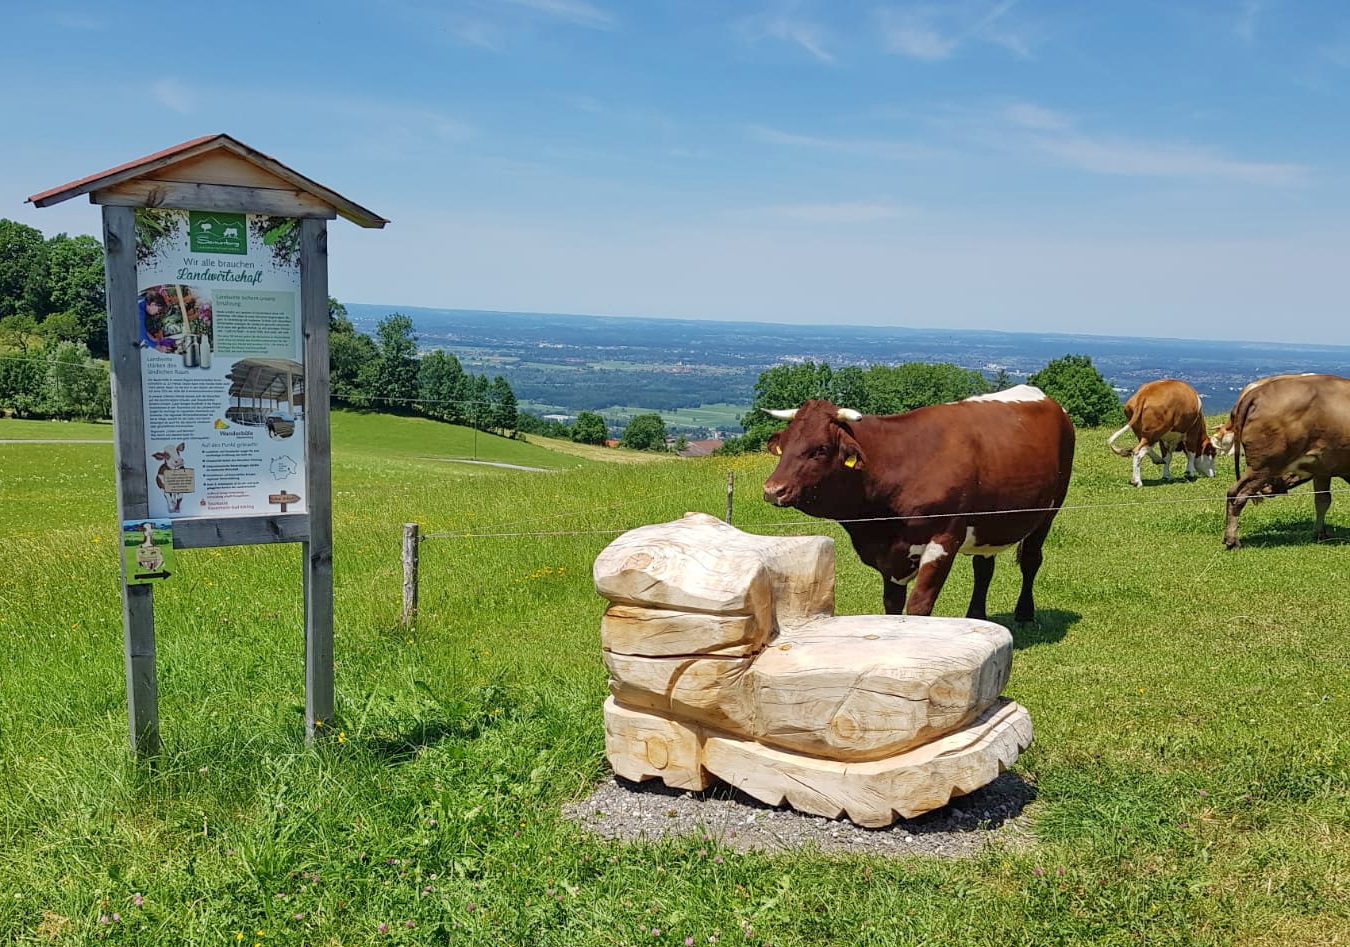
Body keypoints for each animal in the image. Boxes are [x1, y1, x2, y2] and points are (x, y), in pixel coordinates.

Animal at [766, 380, 1069, 624]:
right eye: (784, 445)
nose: (773, 489)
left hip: (1050, 510)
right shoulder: (889, 553)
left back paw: (1025, 615)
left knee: (1031, 560)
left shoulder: (945, 538)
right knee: (983, 568)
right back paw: (976, 617)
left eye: (820, 449)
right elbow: (892, 603)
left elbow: (919, 604)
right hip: (990, 523)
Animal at [1220, 370, 1350, 545]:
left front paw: (1320, 534)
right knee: (1238, 494)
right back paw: (1232, 540)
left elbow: (1322, 500)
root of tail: (1257, 392)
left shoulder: (1323, 470)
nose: (1269, 488)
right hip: (1265, 464)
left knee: (1234, 492)